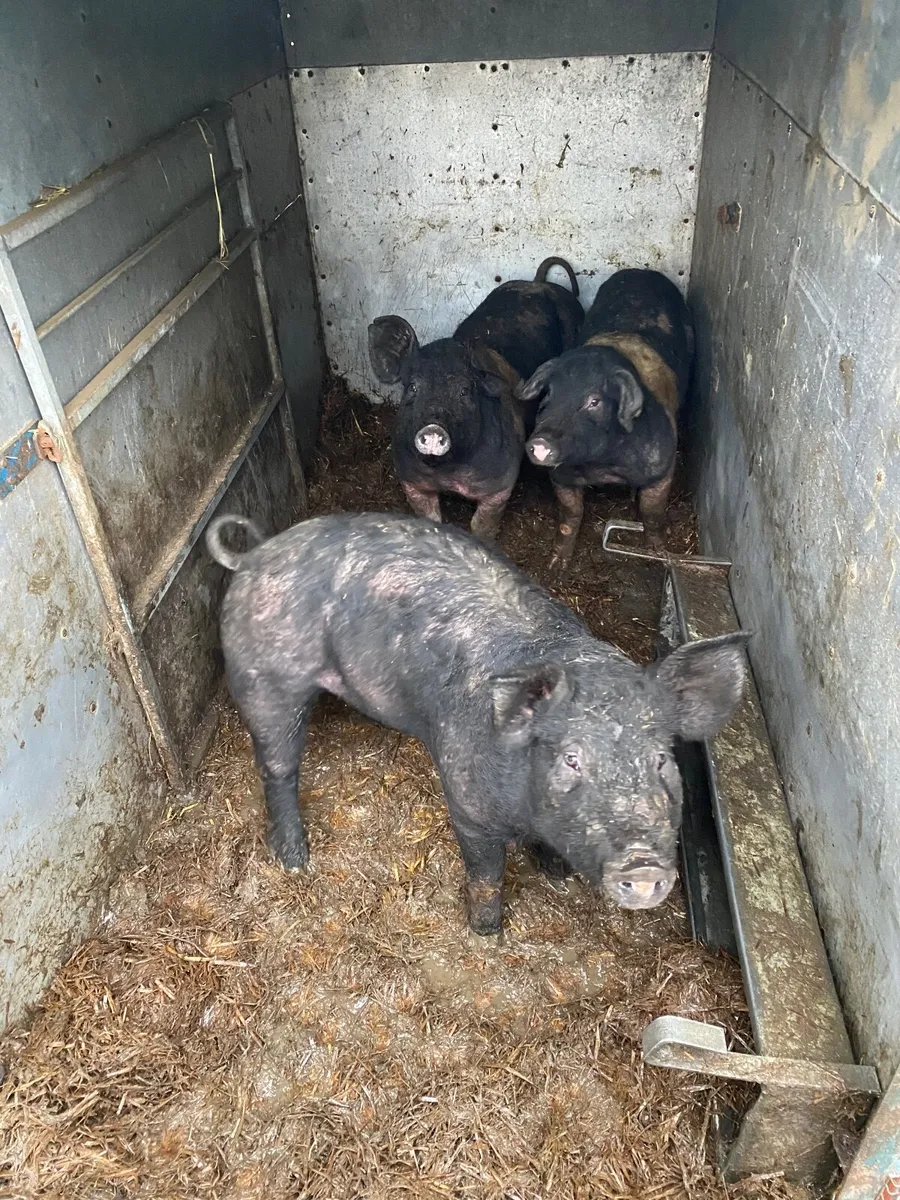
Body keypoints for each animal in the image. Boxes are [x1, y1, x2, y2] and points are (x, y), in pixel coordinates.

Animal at [207, 510, 747, 936]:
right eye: (571, 758)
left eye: (661, 759)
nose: (643, 863)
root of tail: (253, 556)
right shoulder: (467, 802)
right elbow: (485, 873)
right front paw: (487, 932)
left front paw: (556, 874)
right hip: (265, 677)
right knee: (277, 767)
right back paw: (296, 861)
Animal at [368, 257, 583, 541]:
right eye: (412, 387)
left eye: (465, 391)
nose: (433, 429)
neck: (447, 472)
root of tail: (537, 282)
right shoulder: (411, 481)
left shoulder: (500, 484)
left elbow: (482, 525)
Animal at [517, 268, 695, 572]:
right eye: (549, 393)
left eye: (594, 401)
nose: (540, 442)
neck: (603, 465)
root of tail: (642, 271)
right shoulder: (561, 476)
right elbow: (570, 515)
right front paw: (556, 564)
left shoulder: (662, 465)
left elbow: (653, 513)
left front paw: (658, 553)